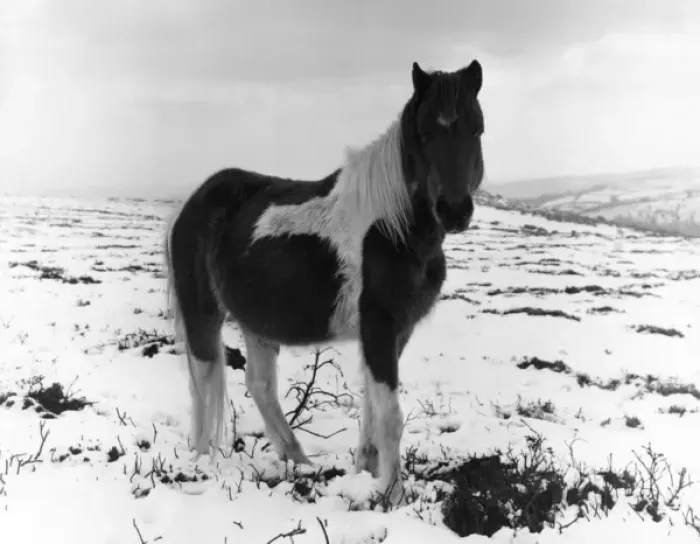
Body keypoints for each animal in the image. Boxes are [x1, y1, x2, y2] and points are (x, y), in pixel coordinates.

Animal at [164, 60, 485, 508]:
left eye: (476, 129)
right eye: (425, 134)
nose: (454, 211)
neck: (392, 227)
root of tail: (192, 202)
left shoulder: (396, 331)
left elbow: (372, 406)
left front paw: (366, 470)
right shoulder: (378, 326)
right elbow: (390, 415)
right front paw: (393, 496)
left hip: (257, 322)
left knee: (259, 385)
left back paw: (298, 461)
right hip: (201, 315)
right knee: (204, 383)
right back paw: (201, 461)